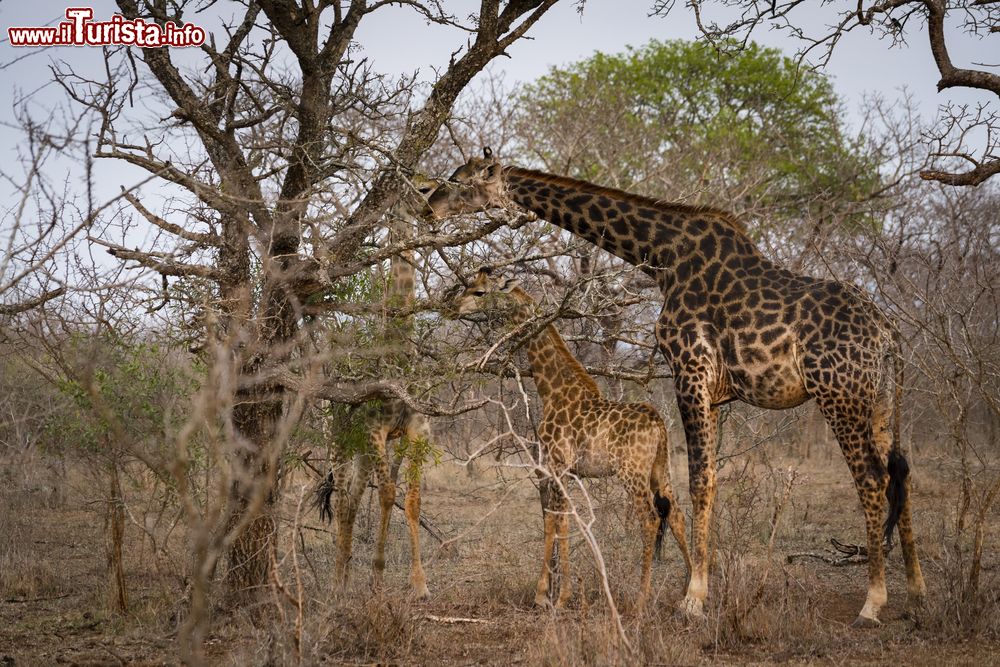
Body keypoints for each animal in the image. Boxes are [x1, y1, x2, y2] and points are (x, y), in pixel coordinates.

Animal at [320, 176, 438, 600]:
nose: (431, 211)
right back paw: (337, 582)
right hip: (340, 440)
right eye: (420, 186)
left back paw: (345, 575)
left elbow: (412, 499)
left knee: (353, 499)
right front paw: (377, 577)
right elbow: (387, 494)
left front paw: (418, 584)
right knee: (343, 501)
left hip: (362, 449)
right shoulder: (375, 429)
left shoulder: (417, 429)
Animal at [450, 268, 692, 612]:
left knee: (649, 519)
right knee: (677, 515)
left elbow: (557, 520)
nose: (454, 308)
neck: (552, 390)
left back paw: (641, 599)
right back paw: (690, 593)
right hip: (661, 469)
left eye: (479, 291)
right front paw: (551, 594)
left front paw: (552, 596)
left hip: (631, 472)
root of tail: (658, 423)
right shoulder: (561, 468)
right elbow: (557, 520)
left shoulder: (558, 463)